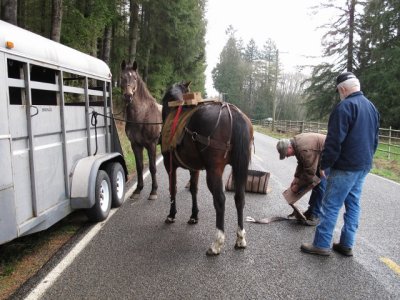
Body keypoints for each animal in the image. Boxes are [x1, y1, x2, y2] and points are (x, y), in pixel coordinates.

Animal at [120, 60, 162, 199]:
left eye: (134, 78)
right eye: (122, 77)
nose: (128, 96)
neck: (143, 116)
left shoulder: (151, 144)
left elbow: (152, 167)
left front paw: (153, 191)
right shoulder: (135, 145)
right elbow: (139, 167)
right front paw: (138, 189)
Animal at [160, 82, 252, 255]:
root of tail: (233, 113)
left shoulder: (169, 165)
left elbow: (172, 189)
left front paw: (171, 214)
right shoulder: (194, 168)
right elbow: (193, 189)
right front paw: (194, 216)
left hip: (214, 171)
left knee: (220, 200)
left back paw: (217, 243)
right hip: (238, 168)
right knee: (240, 198)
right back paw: (240, 238)